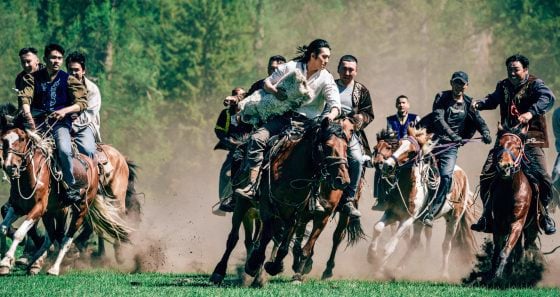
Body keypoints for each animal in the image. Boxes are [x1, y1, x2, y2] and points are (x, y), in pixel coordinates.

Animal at [0, 104, 131, 276]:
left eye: (22, 138)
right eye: (3, 139)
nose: (10, 166)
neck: (33, 174)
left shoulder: (39, 207)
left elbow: (19, 233)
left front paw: (9, 260)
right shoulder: (19, 206)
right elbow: (3, 227)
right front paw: (7, 261)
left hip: (89, 207)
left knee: (68, 237)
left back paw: (56, 267)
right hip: (53, 211)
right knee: (55, 234)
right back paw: (37, 262)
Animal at [245, 117, 350, 284]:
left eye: (346, 147)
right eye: (328, 146)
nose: (343, 180)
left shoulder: (298, 213)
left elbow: (290, 245)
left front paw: (277, 267)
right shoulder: (268, 208)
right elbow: (266, 237)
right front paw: (254, 263)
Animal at [368, 126, 476, 278]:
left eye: (412, 152)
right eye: (398, 144)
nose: (387, 165)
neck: (407, 186)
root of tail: (463, 175)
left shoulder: (407, 220)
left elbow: (389, 247)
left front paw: (379, 270)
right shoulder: (393, 213)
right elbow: (377, 227)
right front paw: (371, 256)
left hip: (454, 218)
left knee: (446, 246)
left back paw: (444, 273)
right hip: (420, 221)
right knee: (415, 242)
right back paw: (399, 268)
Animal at [492, 124, 540, 278]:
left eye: (518, 147)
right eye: (499, 145)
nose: (504, 167)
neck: (510, 190)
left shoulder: (517, 223)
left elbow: (505, 250)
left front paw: (498, 275)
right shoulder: (498, 223)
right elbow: (498, 250)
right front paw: (492, 273)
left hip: (531, 229)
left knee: (525, 248)